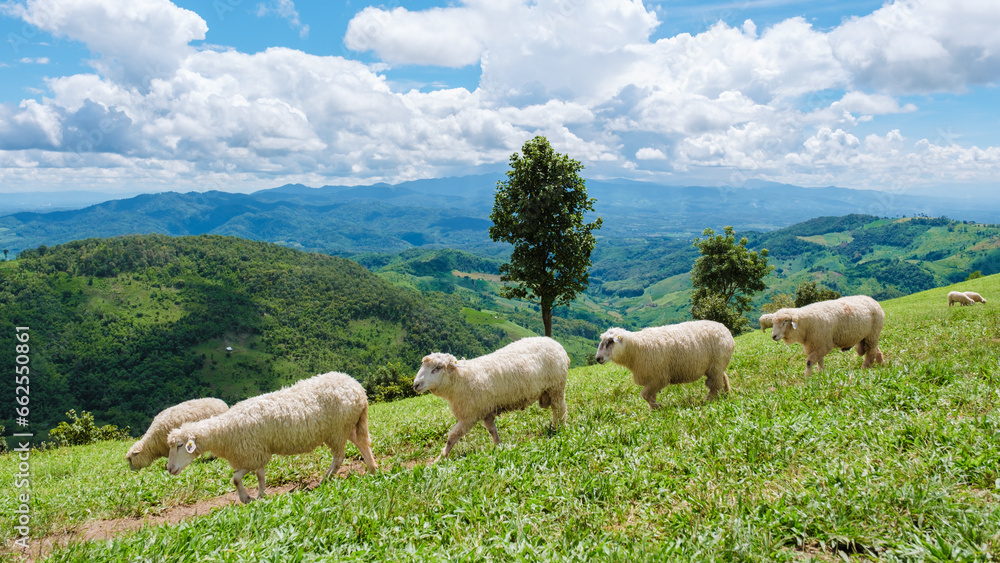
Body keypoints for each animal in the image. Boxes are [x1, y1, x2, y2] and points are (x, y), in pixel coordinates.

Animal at [168, 372, 378, 504]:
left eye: (179, 445)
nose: (169, 469)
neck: (224, 432)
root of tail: (358, 388)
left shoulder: (252, 454)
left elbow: (237, 478)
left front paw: (248, 498)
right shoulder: (257, 453)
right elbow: (257, 476)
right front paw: (259, 495)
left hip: (337, 430)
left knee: (339, 457)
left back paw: (324, 480)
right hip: (350, 424)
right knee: (362, 444)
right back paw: (372, 469)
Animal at [414, 338, 572, 460]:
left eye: (437, 367)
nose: (416, 384)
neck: (461, 379)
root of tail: (557, 344)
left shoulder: (469, 416)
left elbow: (452, 437)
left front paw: (441, 457)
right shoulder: (486, 411)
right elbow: (492, 430)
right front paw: (497, 445)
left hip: (557, 386)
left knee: (560, 408)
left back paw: (560, 428)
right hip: (549, 390)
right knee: (555, 409)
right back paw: (555, 426)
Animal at [592, 322, 736, 410]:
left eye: (610, 341)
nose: (598, 358)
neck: (636, 349)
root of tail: (725, 329)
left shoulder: (659, 377)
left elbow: (644, 394)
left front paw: (657, 407)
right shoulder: (651, 379)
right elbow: (649, 395)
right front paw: (653, 409)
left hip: (716, 365)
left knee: (715, 385)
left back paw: (710, 400)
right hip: (716, 365)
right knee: (723, 377)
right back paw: (727, 393)